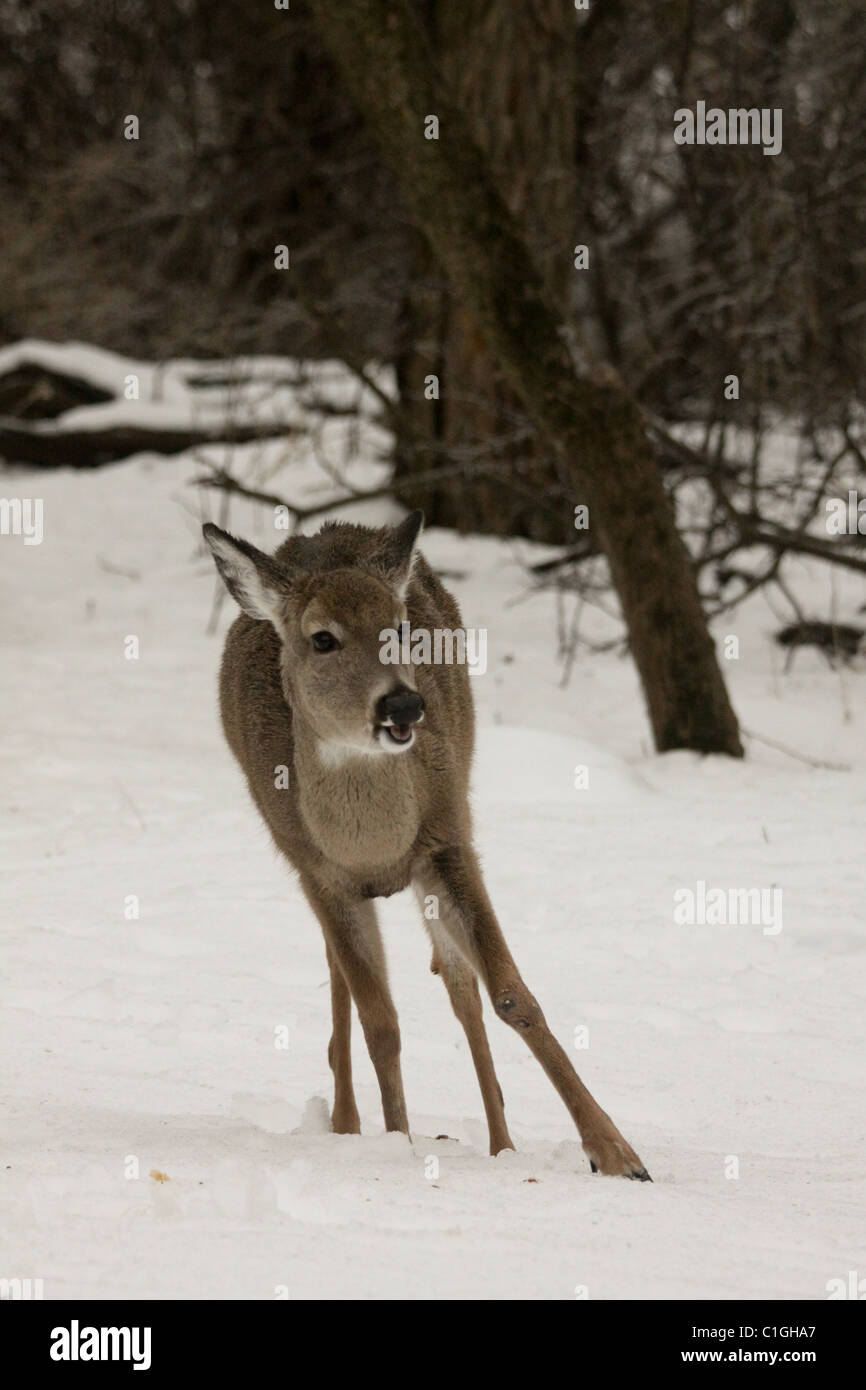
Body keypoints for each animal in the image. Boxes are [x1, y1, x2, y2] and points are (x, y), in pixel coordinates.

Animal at [204, 511, 650, 1184]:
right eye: (322, 639)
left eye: (399, 627)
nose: (403, 702)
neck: (373, 845)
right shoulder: (318, 873)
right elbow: (381, 1022)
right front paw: (399, 1143)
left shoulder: (447, 839)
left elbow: (512, 996)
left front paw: (619, 1154)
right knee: (343, 983)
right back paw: (346, 1121)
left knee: (459, 987)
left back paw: (501, 1145)